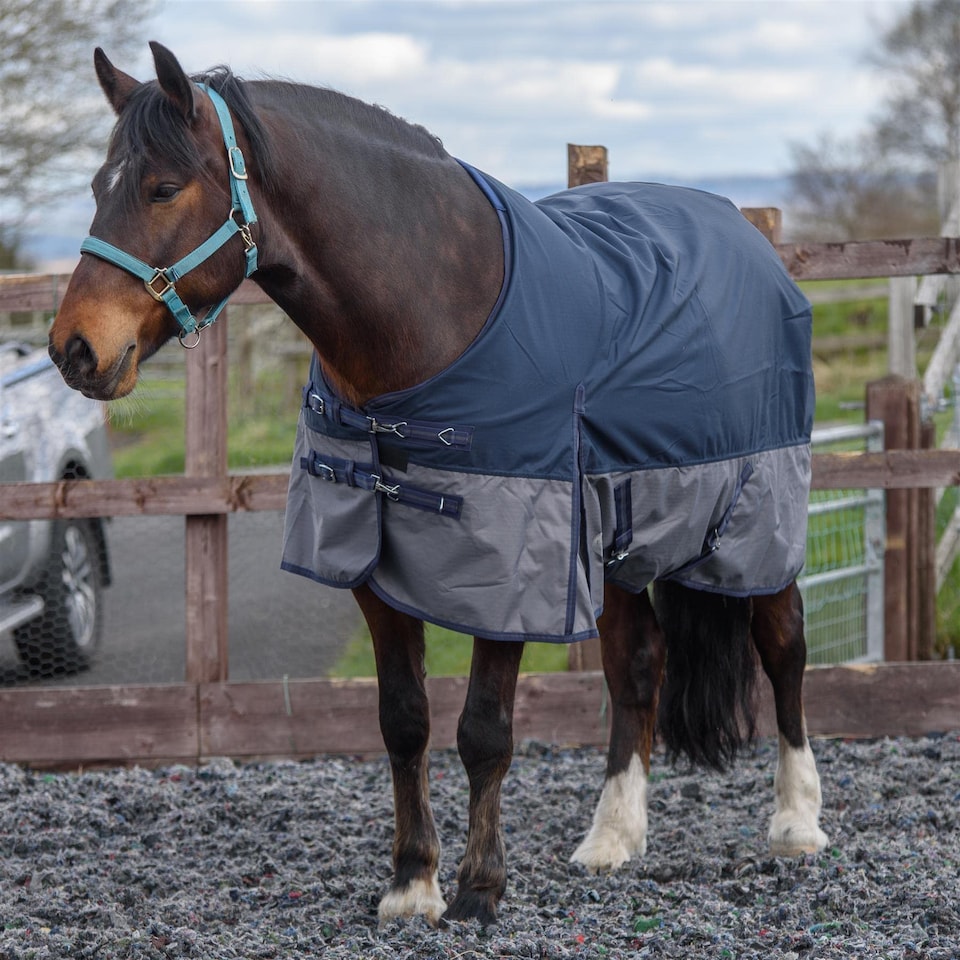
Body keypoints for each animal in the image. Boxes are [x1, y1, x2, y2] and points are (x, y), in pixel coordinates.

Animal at [49, 42, 828, 926]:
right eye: (99, 187)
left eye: (163, 187)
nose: (74, 348)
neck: (431, 317)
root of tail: (747, 233)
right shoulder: (375, 572)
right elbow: (404, 722)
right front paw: (411, 882)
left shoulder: (511, 572)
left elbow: (483, 730)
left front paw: (479, 888)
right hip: (626, 536)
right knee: (639, 667)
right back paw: (611, 837)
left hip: (757, 521)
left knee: (786, 649)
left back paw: (797, 823)